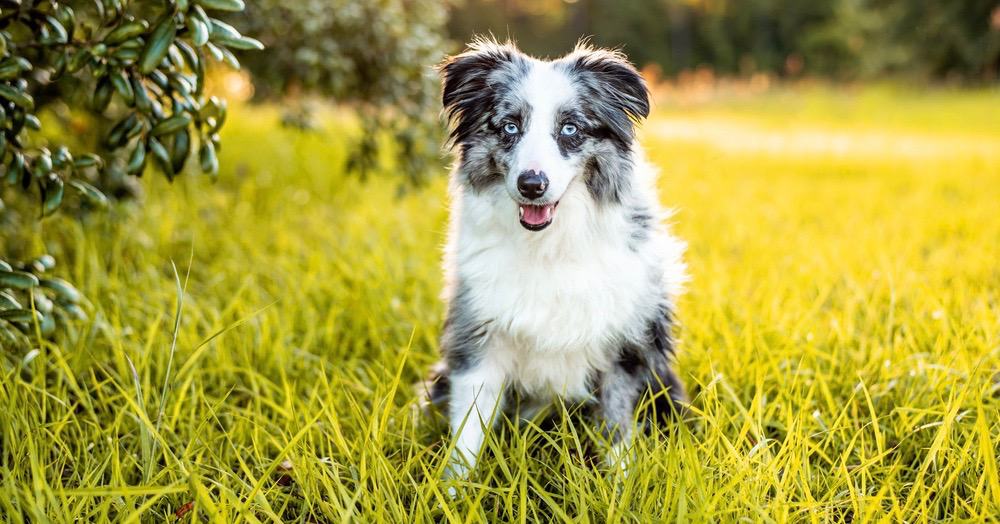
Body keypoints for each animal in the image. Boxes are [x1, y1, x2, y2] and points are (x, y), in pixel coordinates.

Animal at [426, 35, 692, 478]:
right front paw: (452, 489)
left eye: (570, 129)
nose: (532, 184)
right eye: (510, 127)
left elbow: (617, 430)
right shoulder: (479, 337)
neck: (550, 244)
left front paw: (621, 485)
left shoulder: (625, 347)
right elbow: (467, 435)